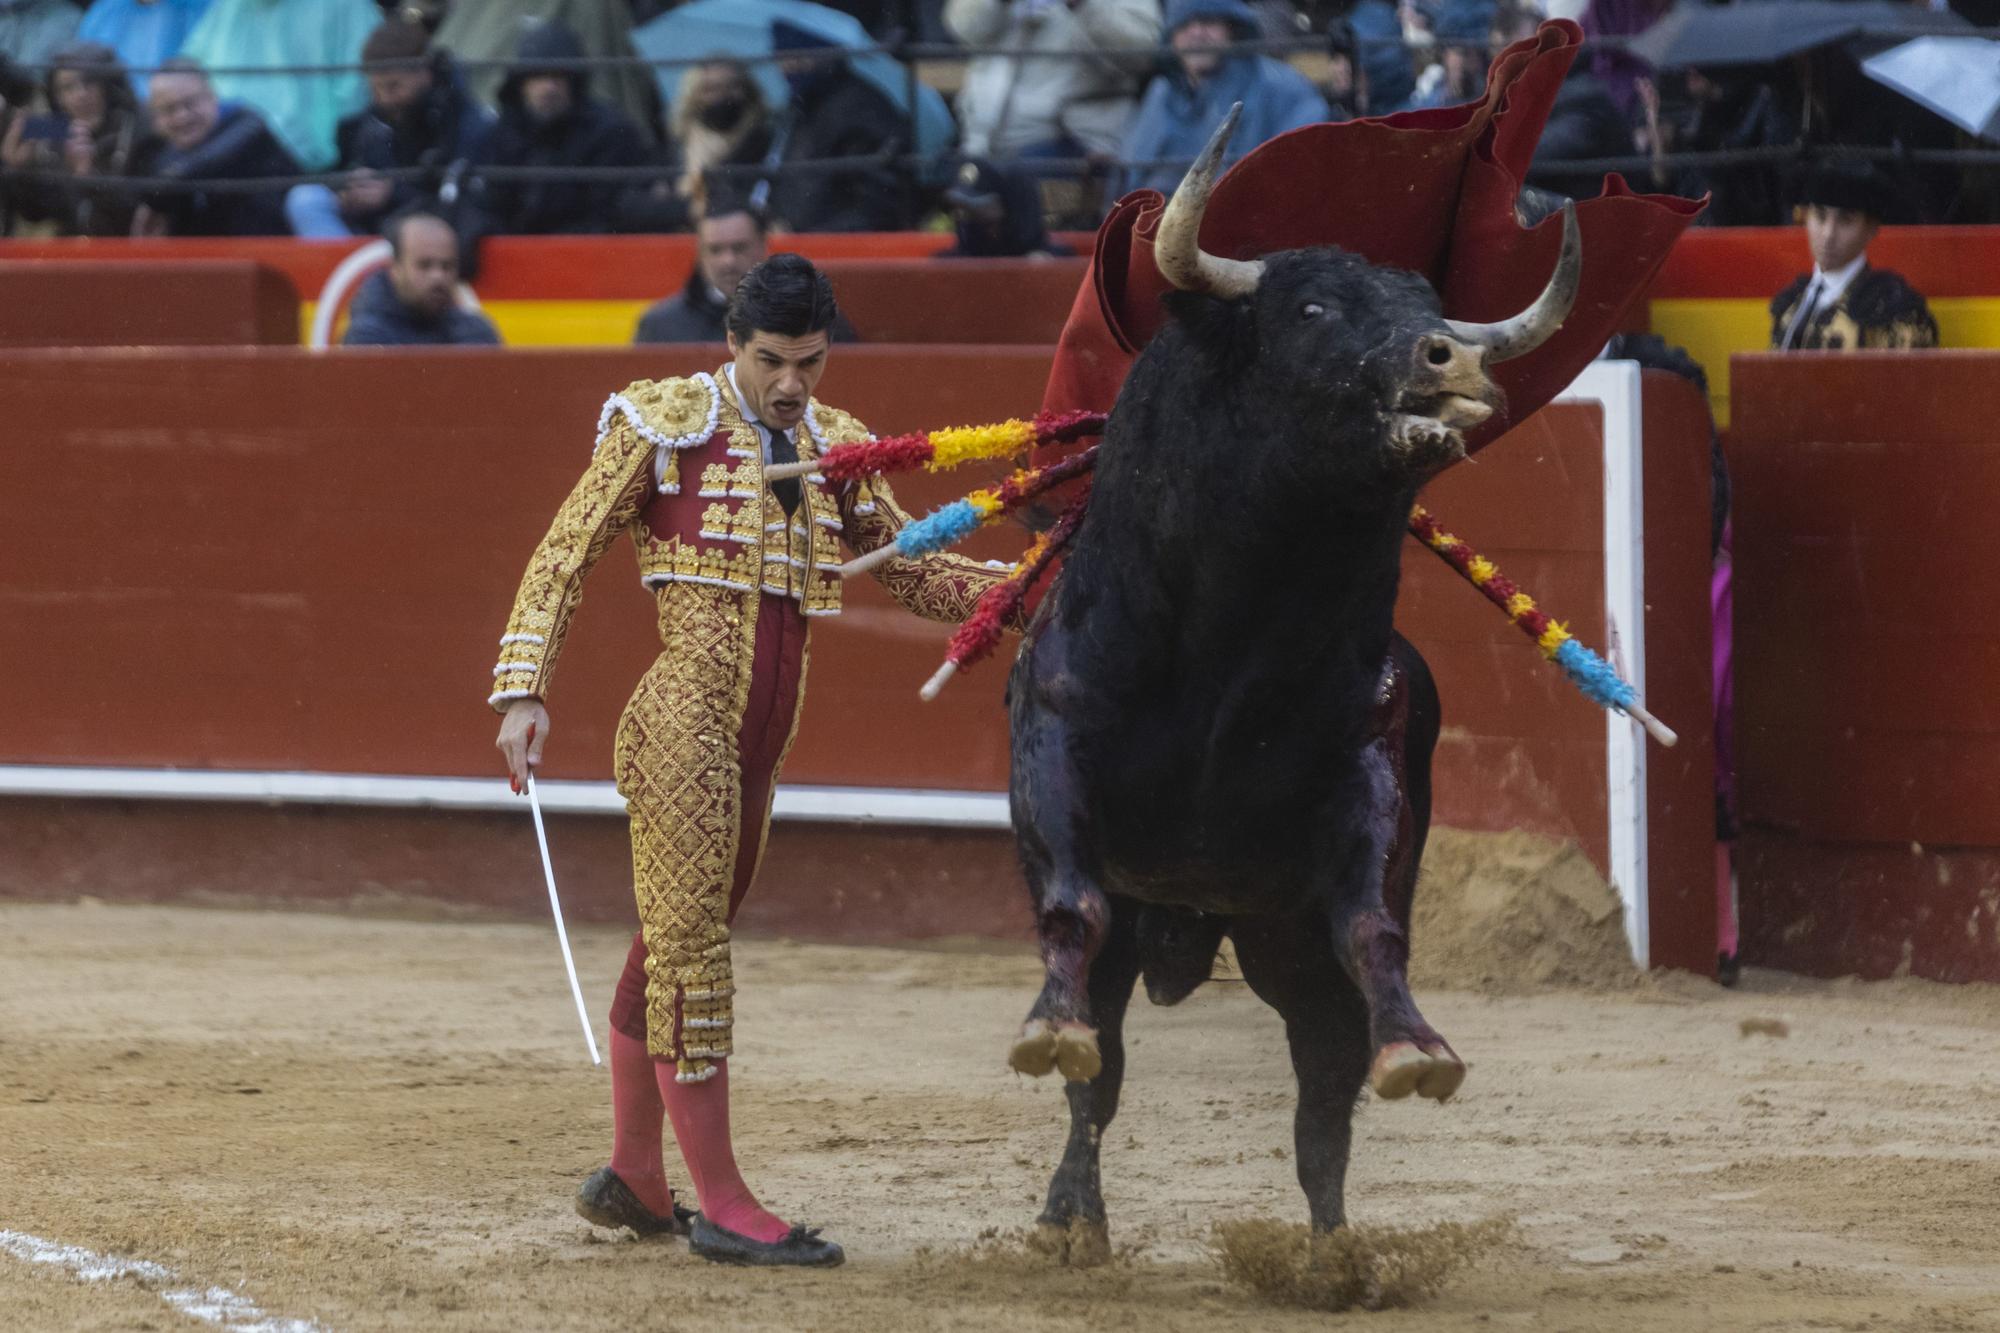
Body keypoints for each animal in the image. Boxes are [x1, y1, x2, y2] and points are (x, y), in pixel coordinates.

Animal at [1000, 109, 1576, 1248]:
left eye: (1429, 310)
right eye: (1309, 307)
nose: (1450, 357)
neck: (1233, 648)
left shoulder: (1364, 783)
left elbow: (1373, 931)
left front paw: (1418, 1048)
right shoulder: (1057, 753)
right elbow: (1071, 917)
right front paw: (1049, 1030)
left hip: (1279, 941)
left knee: (1323, 1085)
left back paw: (1332, 1251)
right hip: (1166, 922)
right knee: (1103, 1073)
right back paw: (1071, 1216)